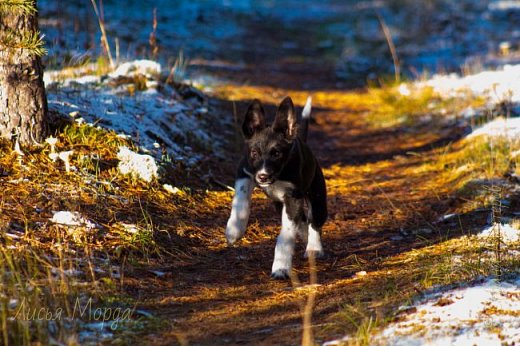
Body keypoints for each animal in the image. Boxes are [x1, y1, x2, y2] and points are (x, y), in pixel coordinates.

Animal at [225, 96, 328, 280]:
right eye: (254, 153)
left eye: (277, 154)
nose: (263, 177)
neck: (278, 175)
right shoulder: (245, 170)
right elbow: (241, 200)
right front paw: (234, 229)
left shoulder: (292, 197)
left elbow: (285, 235)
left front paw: (281, 267)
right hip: (280, 204)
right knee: (303, 221)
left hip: (317, 199)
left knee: (314, 222)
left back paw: (314, 248)